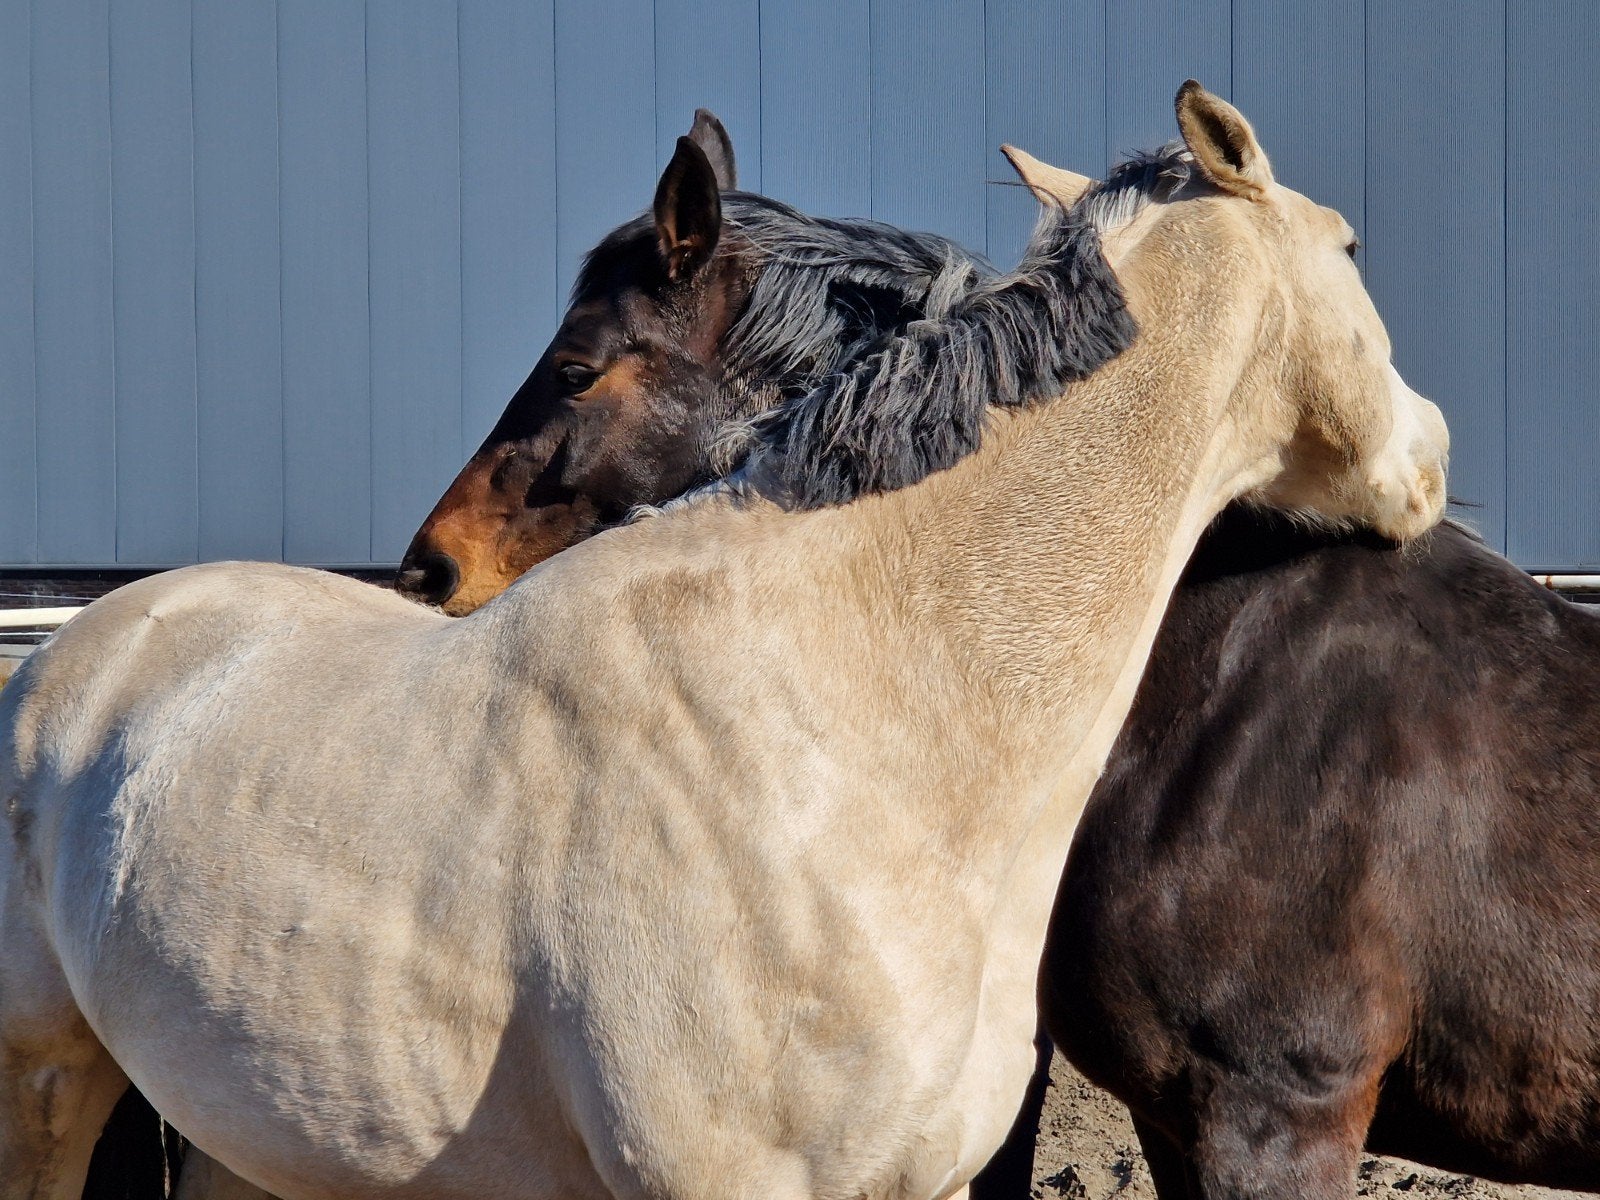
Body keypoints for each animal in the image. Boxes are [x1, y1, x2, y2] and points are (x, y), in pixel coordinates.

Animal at [0, 81, 1446, 1200]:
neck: (853, 721)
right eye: (1354, 248)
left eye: (578, 368)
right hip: (47, 1092)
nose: (1430, 453)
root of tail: (73, 655)